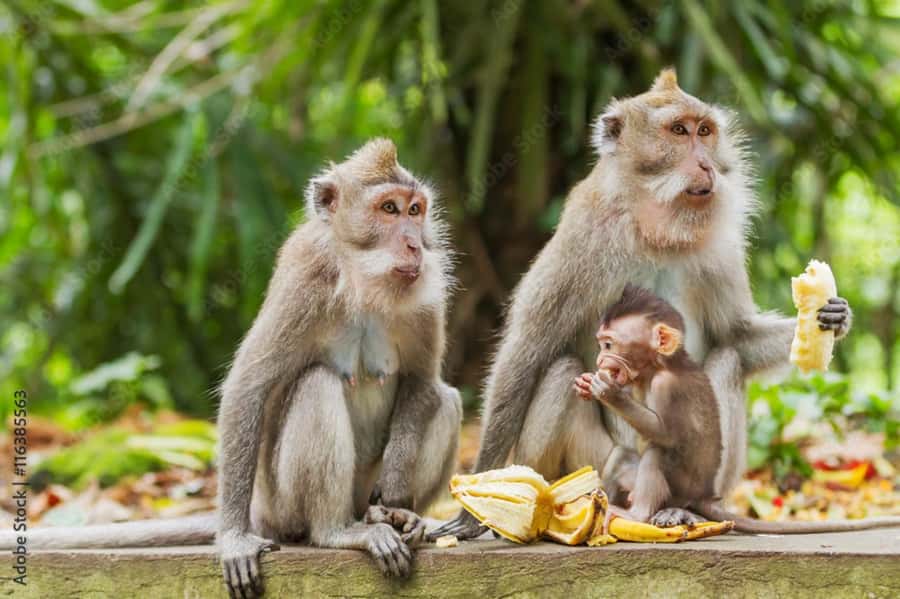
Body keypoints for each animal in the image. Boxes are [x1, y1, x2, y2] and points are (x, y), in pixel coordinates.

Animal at [1, 139, 463, 598]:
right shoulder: (304, 281)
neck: (364, 282)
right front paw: (235, 539)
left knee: (446, 399)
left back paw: (398, 517)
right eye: (388, 209)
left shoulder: (427, 296)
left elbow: (422, 381)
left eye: (415, 210)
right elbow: (248, 388)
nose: (414, 245)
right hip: (283, 505)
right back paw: (335, 532)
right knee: (316, 384)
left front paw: (398, 496)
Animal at [430, 68, 853, 541]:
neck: (657, 228)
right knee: (558, 373)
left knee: (726, 360)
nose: (706, 163)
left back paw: (688, 507)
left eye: (705, 131)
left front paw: (831, 316)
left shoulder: (720, 247)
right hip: (587, 464)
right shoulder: (583, 235)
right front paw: (473, 508)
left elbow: (735, 335)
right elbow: (525, 352)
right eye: (679, 131)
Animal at [574, 285, 900, 533]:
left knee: (656, 453)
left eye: (608, 344)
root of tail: (706, 497)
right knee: (622, 456)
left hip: (681, 490)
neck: (658, 366)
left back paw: (638, 514)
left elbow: (665, 433)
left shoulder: (667, 386)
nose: (601, 360)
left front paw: (610, 392)